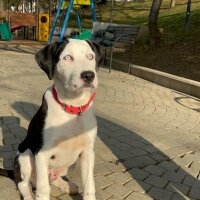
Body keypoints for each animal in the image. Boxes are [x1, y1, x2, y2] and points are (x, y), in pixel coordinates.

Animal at [13, 38, 101, 200]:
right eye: (67, 57)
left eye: (90, 56)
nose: (89, 75)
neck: (73, 107)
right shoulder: (42, 153)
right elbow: (43, 190)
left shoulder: (88, 152)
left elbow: (89, 185)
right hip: (26, 155)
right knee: (24, 184)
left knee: (53, 178)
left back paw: (68, 185)